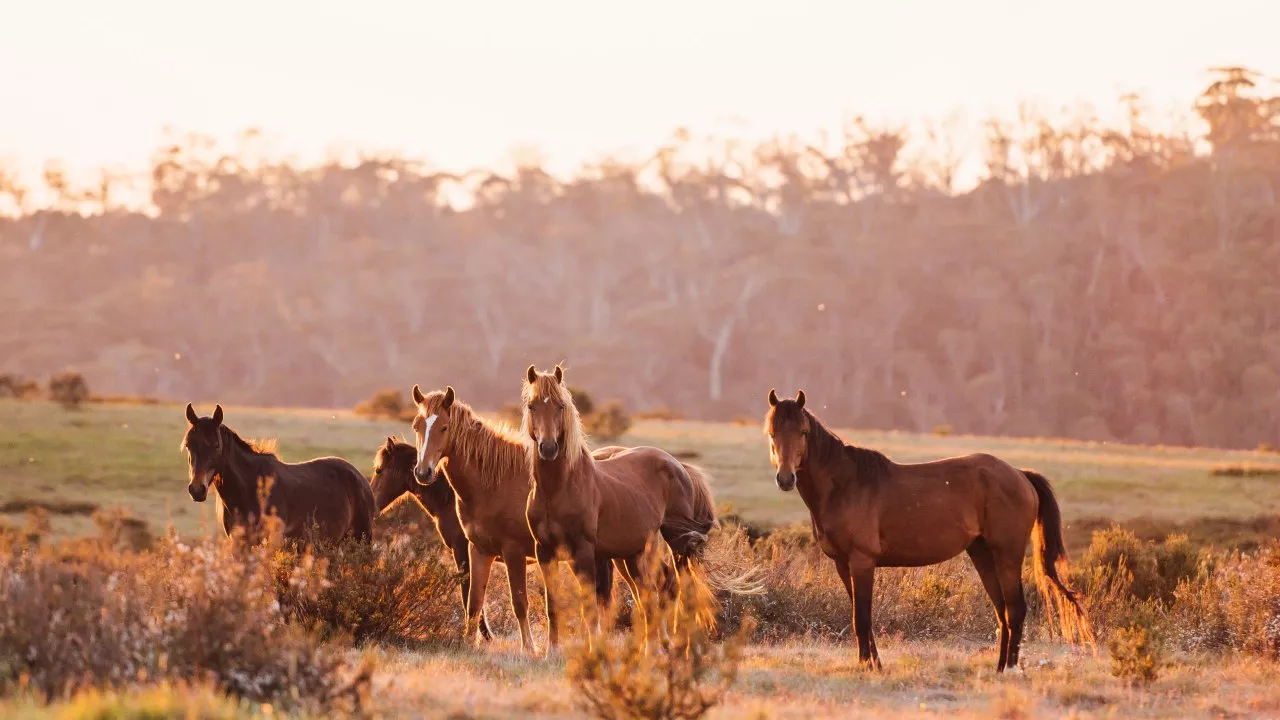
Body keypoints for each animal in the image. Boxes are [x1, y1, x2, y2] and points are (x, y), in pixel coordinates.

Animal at [404, 384, 614, 653]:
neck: (493, 483)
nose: (423, 472)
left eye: (444, 427)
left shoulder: (513, 552)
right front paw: (468, 643)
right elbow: (474, 602)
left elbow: (519, 602)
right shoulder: (479, 550)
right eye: (416, 426)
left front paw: (529, 649)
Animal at [762, 389, 1095, 671]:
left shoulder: (862, 562)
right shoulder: (844, 565)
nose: (786, 478)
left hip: (1007, 555)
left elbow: (862, 619)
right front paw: (873, 665)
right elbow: (860, 617)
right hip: (982, 554)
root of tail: (1020, 475)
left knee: (1015, 609)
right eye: (772, 433)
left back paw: (1010, 669)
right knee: (1002, 612)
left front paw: (869, 667)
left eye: (803, 432)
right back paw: (999, 668)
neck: (845, 485)